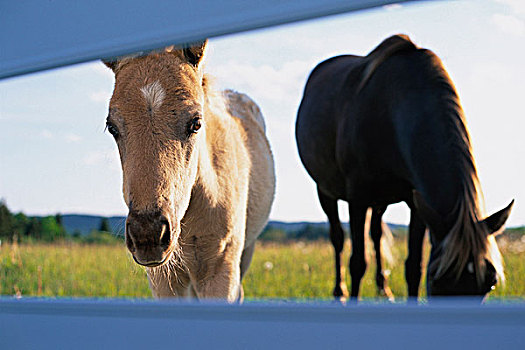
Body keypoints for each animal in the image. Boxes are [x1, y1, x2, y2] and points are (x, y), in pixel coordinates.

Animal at [294, 34, 512, 300]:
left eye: (489, 284)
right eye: (438, 281)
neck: (389, 111)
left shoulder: (419, 204)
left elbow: (414, 266)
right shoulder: (358, 198)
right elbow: (358, 262)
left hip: (380, 201)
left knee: (376, 234)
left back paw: (383, 287)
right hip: (326, 191)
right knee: (337, 238)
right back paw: (340, 291)